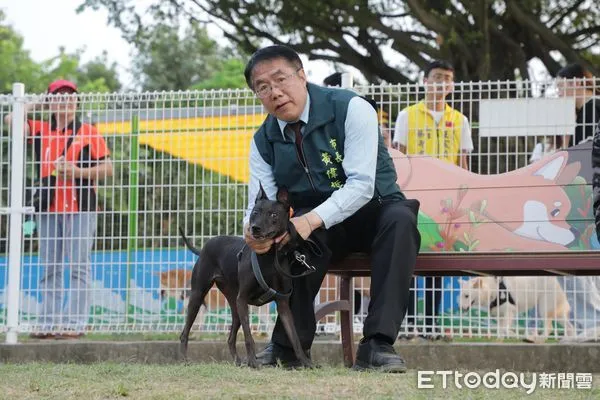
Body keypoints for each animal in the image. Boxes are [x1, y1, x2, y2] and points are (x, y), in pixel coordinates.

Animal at [179, 184, 314, 368]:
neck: (270, 257)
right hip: (198, 296)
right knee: (184, 333)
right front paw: (253, 362)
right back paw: (185, 360)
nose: (255, 228)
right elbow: (249, 337)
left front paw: (306, 362)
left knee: (230, 338)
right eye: (255, 212)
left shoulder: (282, 304)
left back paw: (237, 362)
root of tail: (205, 246)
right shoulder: (243, 300)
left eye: (273, 214)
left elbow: (294, 338)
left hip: (234, 306)